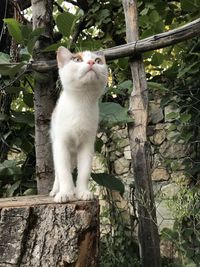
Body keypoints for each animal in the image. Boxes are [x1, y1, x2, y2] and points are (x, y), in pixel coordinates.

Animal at [49, 47, 108, 203]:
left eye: (98, 61)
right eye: (77, 59)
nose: (91, 62)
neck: (82, 101)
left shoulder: (87, 144)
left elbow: (84, 171)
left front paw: (82, 192)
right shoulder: (61, 144)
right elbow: (63, 172)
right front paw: (65, 193)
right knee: (58, 172)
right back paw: (55, 190)